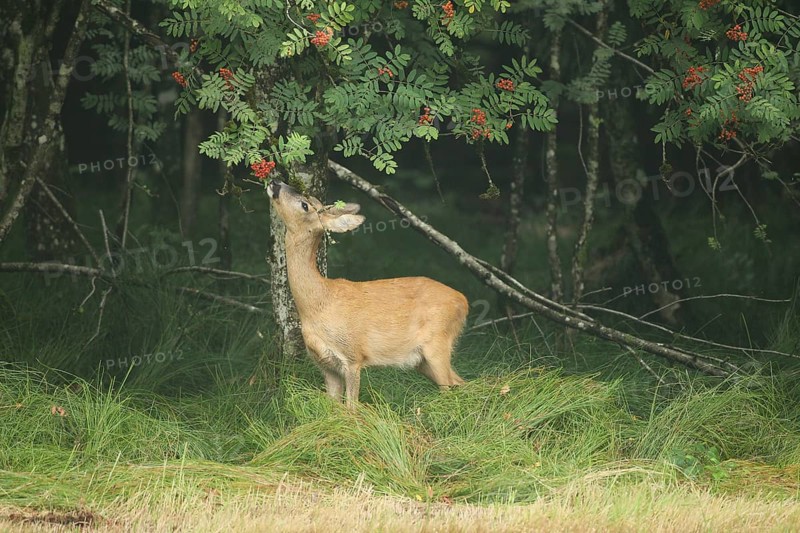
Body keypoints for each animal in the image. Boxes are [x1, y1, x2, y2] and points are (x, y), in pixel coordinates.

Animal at [268, 179, 468, 408]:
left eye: (305, 205)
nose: (276, 182)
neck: (319, 303)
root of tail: (464, 301)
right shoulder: (326, 365)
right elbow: (334, 407)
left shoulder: (353, 356)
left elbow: (351, 408)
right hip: (422, 360)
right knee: (461, 383)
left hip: (438, 342)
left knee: (450, 388)